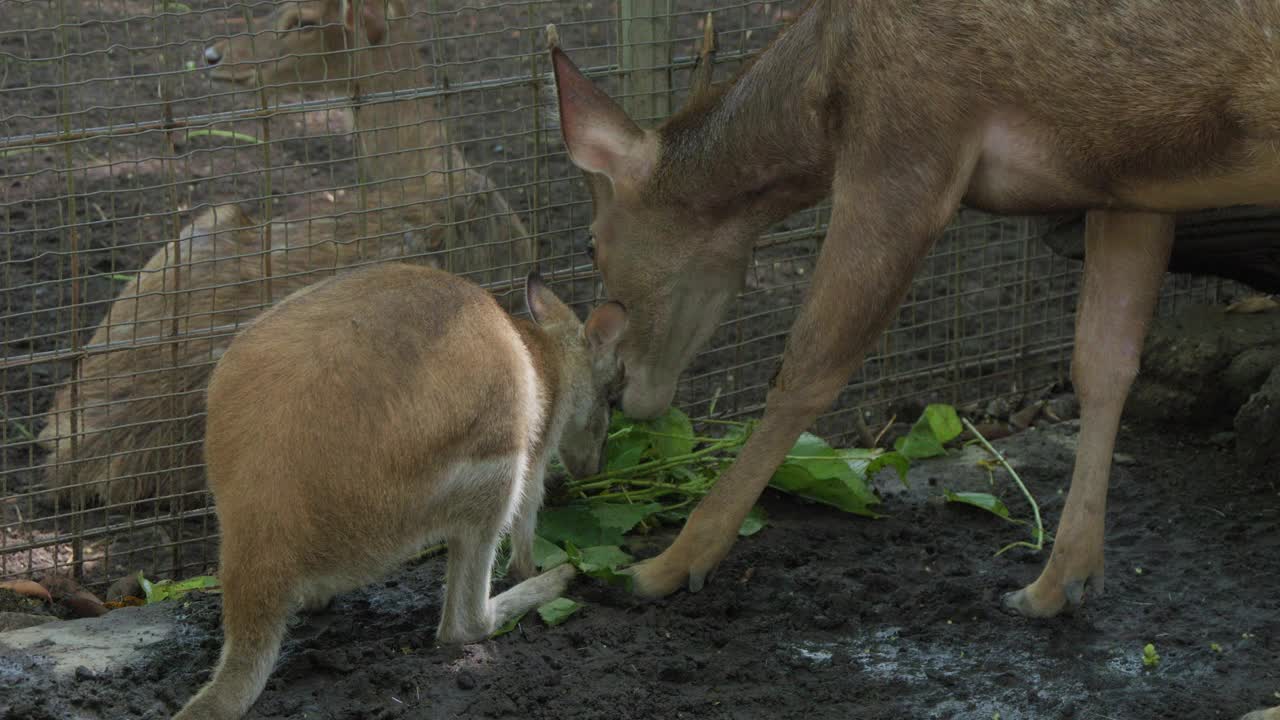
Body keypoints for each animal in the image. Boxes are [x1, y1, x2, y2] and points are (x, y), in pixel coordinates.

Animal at [170, 263, 629, 717]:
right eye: (612, 400)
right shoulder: (537, 447)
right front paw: (531, 567)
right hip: (489, 465)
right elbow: (529, 517)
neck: (548, 352)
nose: (594, 469)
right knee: (463, 626)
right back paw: (549, 582)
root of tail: (260, 550)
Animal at [550, 2, 1280, 712]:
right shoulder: (1128, 181)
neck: (824, 86)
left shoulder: (907, 140)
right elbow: (1104, 363)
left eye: (589, 244)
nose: (621, 392)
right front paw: (1059, 581)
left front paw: (663, 566)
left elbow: (806, 367)